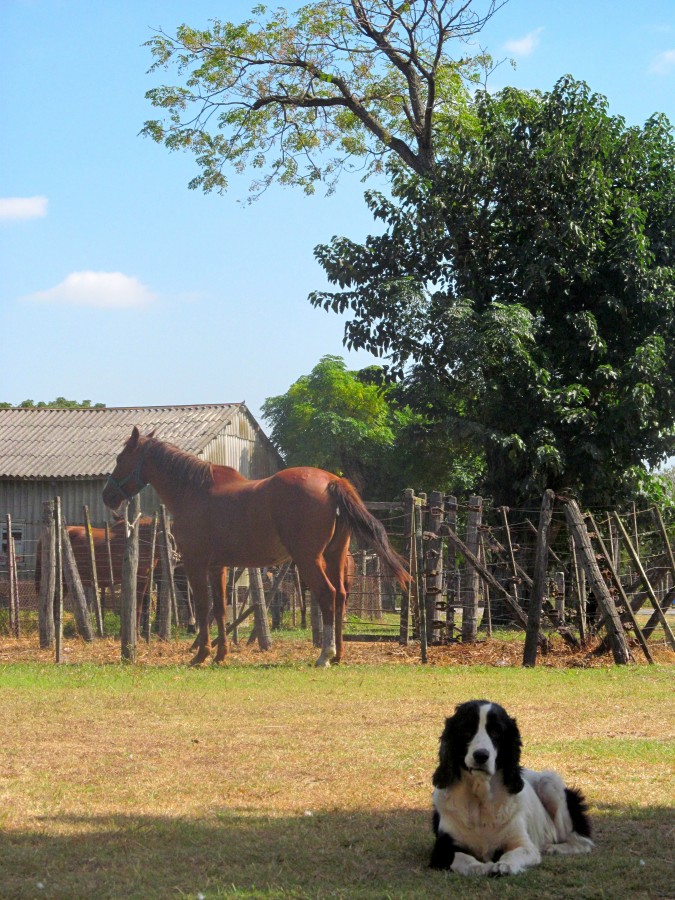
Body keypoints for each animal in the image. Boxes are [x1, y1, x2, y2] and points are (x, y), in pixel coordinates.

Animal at [103, 428, 410, 668]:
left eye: (120, 458)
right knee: (341, 597)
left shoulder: (194, 563)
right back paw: (338, 654)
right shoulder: (218, 567)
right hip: (334, 557)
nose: (107, 496)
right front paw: (221, 655)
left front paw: (201, 655)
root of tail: (332, 481)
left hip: (309, 560)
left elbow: (202, 607)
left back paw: (324, 655)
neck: (193, 492)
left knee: (327, 595)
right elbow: (220, 610)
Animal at [430, 700, 596, 876]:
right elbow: (464, 858)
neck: (481, 799)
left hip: (549, 783)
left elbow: (513, 853)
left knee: (581, 841)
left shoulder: (524, 845)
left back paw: (553, 848)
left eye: (496, 732)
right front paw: (482, 867)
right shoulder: (441, 849)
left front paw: (504, 865)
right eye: (466, 731)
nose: (481, 755)